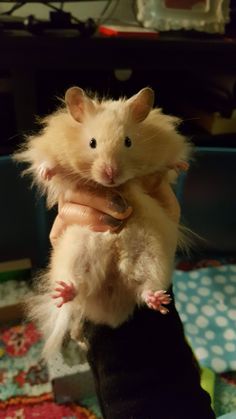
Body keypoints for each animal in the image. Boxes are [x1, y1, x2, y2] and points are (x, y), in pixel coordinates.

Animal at [14, 87, 192, 360]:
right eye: (92, 143)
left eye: (128, 141)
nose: (111, 174)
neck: (115, 188)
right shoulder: (52, 151)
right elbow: (51, 165)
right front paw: (46, 171)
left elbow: (170, 163)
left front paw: (183, 165)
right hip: (77, 253)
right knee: (78, 286)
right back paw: (64, 291)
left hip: (153, 257)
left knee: (144, 289)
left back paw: (158, 301)